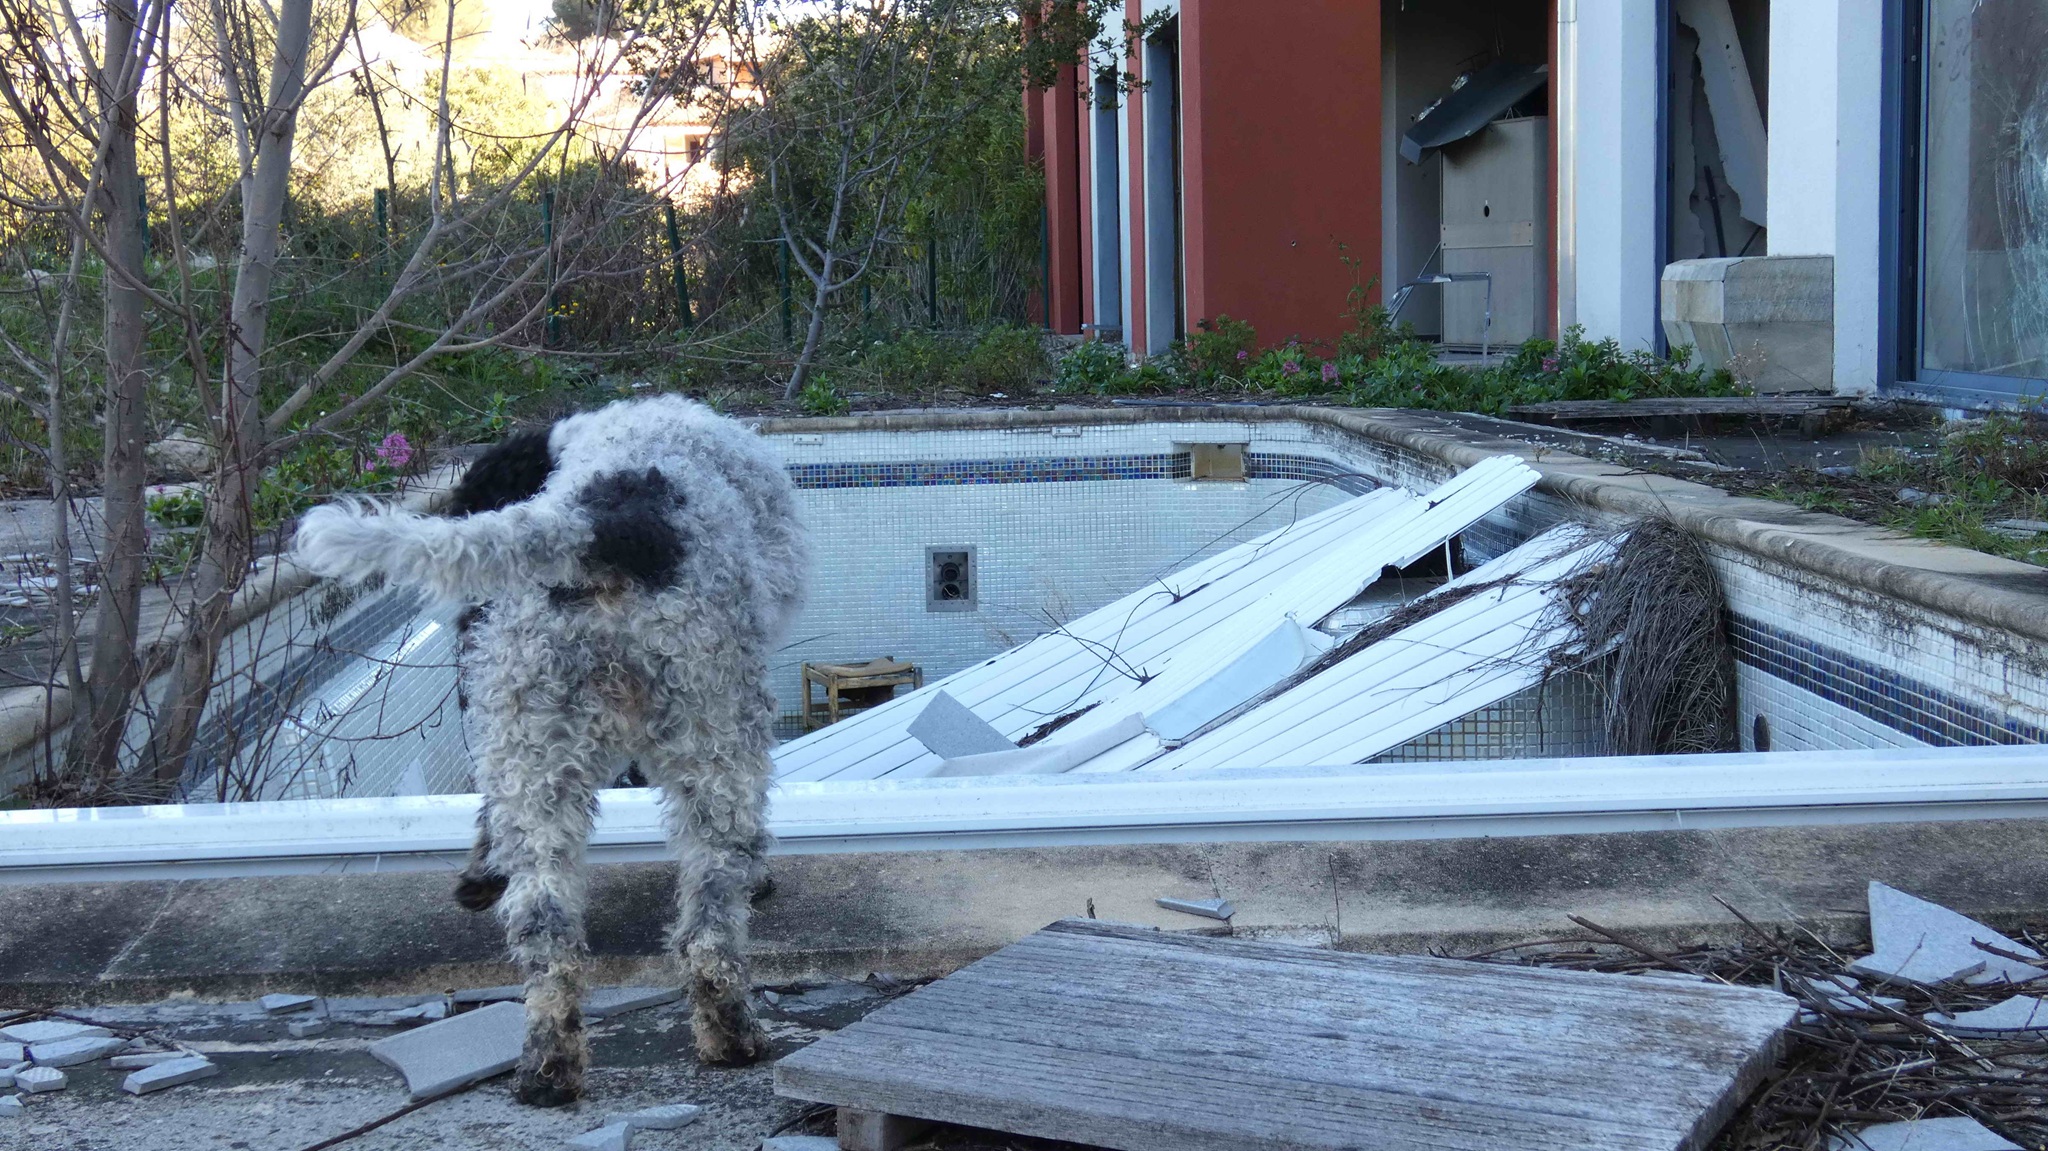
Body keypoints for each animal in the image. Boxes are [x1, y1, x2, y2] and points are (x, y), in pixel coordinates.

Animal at [293, 394, 806, 1106]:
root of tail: (592, 531)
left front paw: (479, 874)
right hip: (717, 741)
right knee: (709, 917)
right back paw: (732, 1035)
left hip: (534, 750)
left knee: (545, 924)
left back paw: (547, 1065)